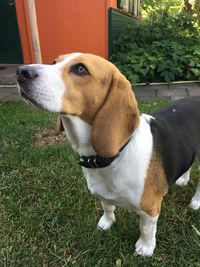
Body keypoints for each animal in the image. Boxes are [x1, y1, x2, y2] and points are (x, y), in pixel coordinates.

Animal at [16, 52, 200, 258]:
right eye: (55, 62)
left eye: (81, 69)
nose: (21, 71)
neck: (114, 155)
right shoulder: (102, 194)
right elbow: (107, 207)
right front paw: (107, 223)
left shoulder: (150, 208)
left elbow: (146, 229)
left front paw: (145, 248)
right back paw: (183, 179)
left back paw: (196, 202)